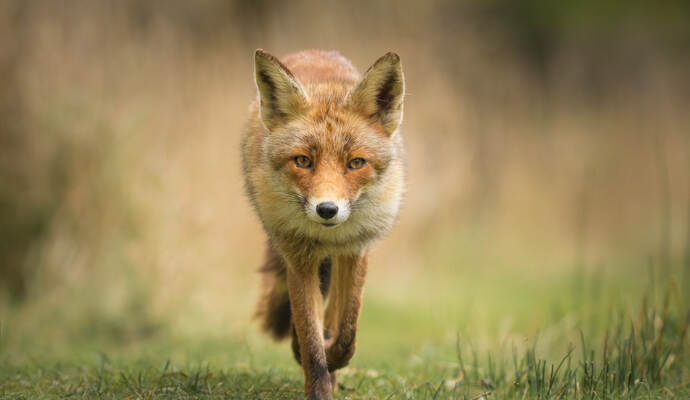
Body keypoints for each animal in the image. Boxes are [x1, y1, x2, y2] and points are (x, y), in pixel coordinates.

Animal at [241, 48, 405, 399]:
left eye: (355, 163)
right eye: (303, 161)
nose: (327, 209)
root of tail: (315, 52)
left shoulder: (356, 250)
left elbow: (345, 333)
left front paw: (334, 361)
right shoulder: (299, 257)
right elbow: (311, 338)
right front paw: (318, 383)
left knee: (333, 317)